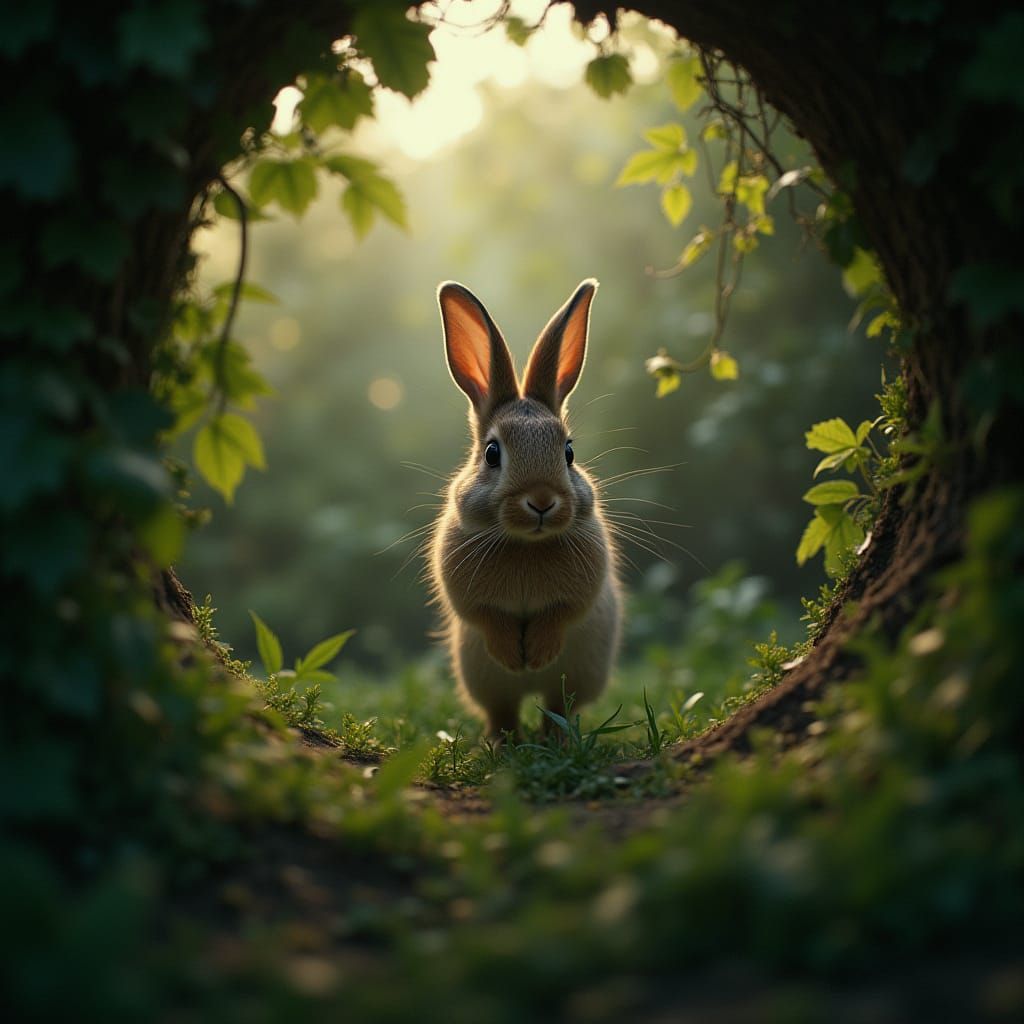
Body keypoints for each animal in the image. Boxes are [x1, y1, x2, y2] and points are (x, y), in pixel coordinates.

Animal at [429, 278, 622, 739]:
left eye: (569, 452)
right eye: (492, 453)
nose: (541, 501)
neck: (525, 545)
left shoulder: (582, 589)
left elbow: (562, 613)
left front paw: (537, 655)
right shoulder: (465, 591)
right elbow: (485, 616)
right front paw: (513, 656)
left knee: (558, 707)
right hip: (481, 678)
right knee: (504, 712)